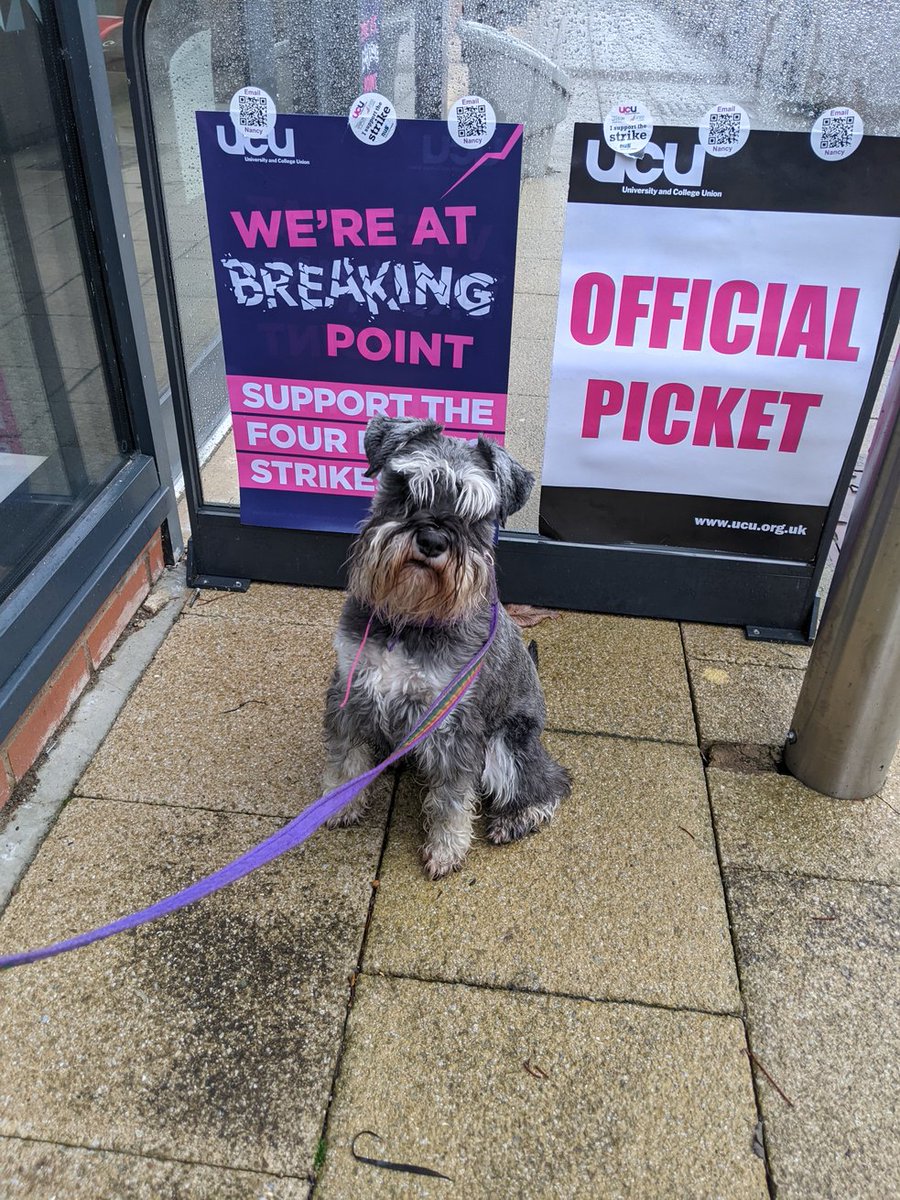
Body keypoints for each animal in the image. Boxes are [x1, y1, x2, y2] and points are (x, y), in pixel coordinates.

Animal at [324, 417, 571, 878]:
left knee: (547, 782)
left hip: (507, 742)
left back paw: (517, 817)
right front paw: (339, 803)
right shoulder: (351, 688)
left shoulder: (454, 724)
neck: (408, 619)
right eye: (406, 487)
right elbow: (345, 755)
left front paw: (446, 849)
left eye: (477, 513)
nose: (433, 541)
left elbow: (450, 798)